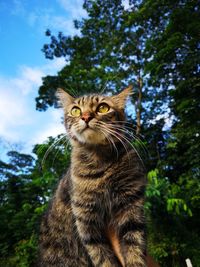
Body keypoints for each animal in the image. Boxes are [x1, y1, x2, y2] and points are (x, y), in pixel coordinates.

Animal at [38, 87, 147, 266]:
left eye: (103, 108)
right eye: (75, 110)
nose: (86, 117)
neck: (100, 161)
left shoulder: (131, 206)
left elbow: (135, 248)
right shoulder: (85, 220)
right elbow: (102, 258)